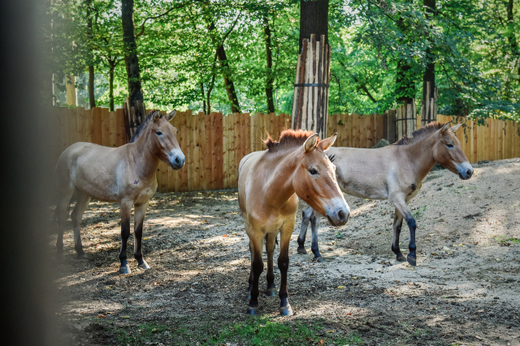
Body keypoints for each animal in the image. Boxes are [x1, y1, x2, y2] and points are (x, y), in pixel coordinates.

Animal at [54, 111, 185, 274]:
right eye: (159, 132)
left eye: (175, 131)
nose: (179, 160)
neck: (135, 163)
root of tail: (69, 150)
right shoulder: (125, 203)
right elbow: (125, 232)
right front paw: (124, 264)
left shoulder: (143, 203)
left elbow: (138, 231)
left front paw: (141, 261)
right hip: (65, 192)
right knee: (61, 218)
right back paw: (60, 252)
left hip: (85, 195)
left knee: (75, 217)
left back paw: (80, 251)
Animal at [239, 128, 352, 314]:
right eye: (313, 170)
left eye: (334, 168)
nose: (343, 213)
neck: (269, 193)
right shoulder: (255, 230)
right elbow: (256, 263)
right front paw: (253, 302)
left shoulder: (287, 227)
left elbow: (283, 262)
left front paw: (285, 302)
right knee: (254, 252)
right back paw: (250, 288)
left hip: (272, 230)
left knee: (270, 249)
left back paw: (270, 285)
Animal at [296, 123, 472, 266]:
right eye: (449, 145)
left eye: (458, 144)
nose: (469, 171)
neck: (406, 160)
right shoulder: (397, 199)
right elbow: (412, 222)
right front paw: (412, 255)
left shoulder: (404, 200)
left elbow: (397, 225)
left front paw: (398, 253)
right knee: (314, 219)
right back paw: (316, 253)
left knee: (307, 214)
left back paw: (301, 247)